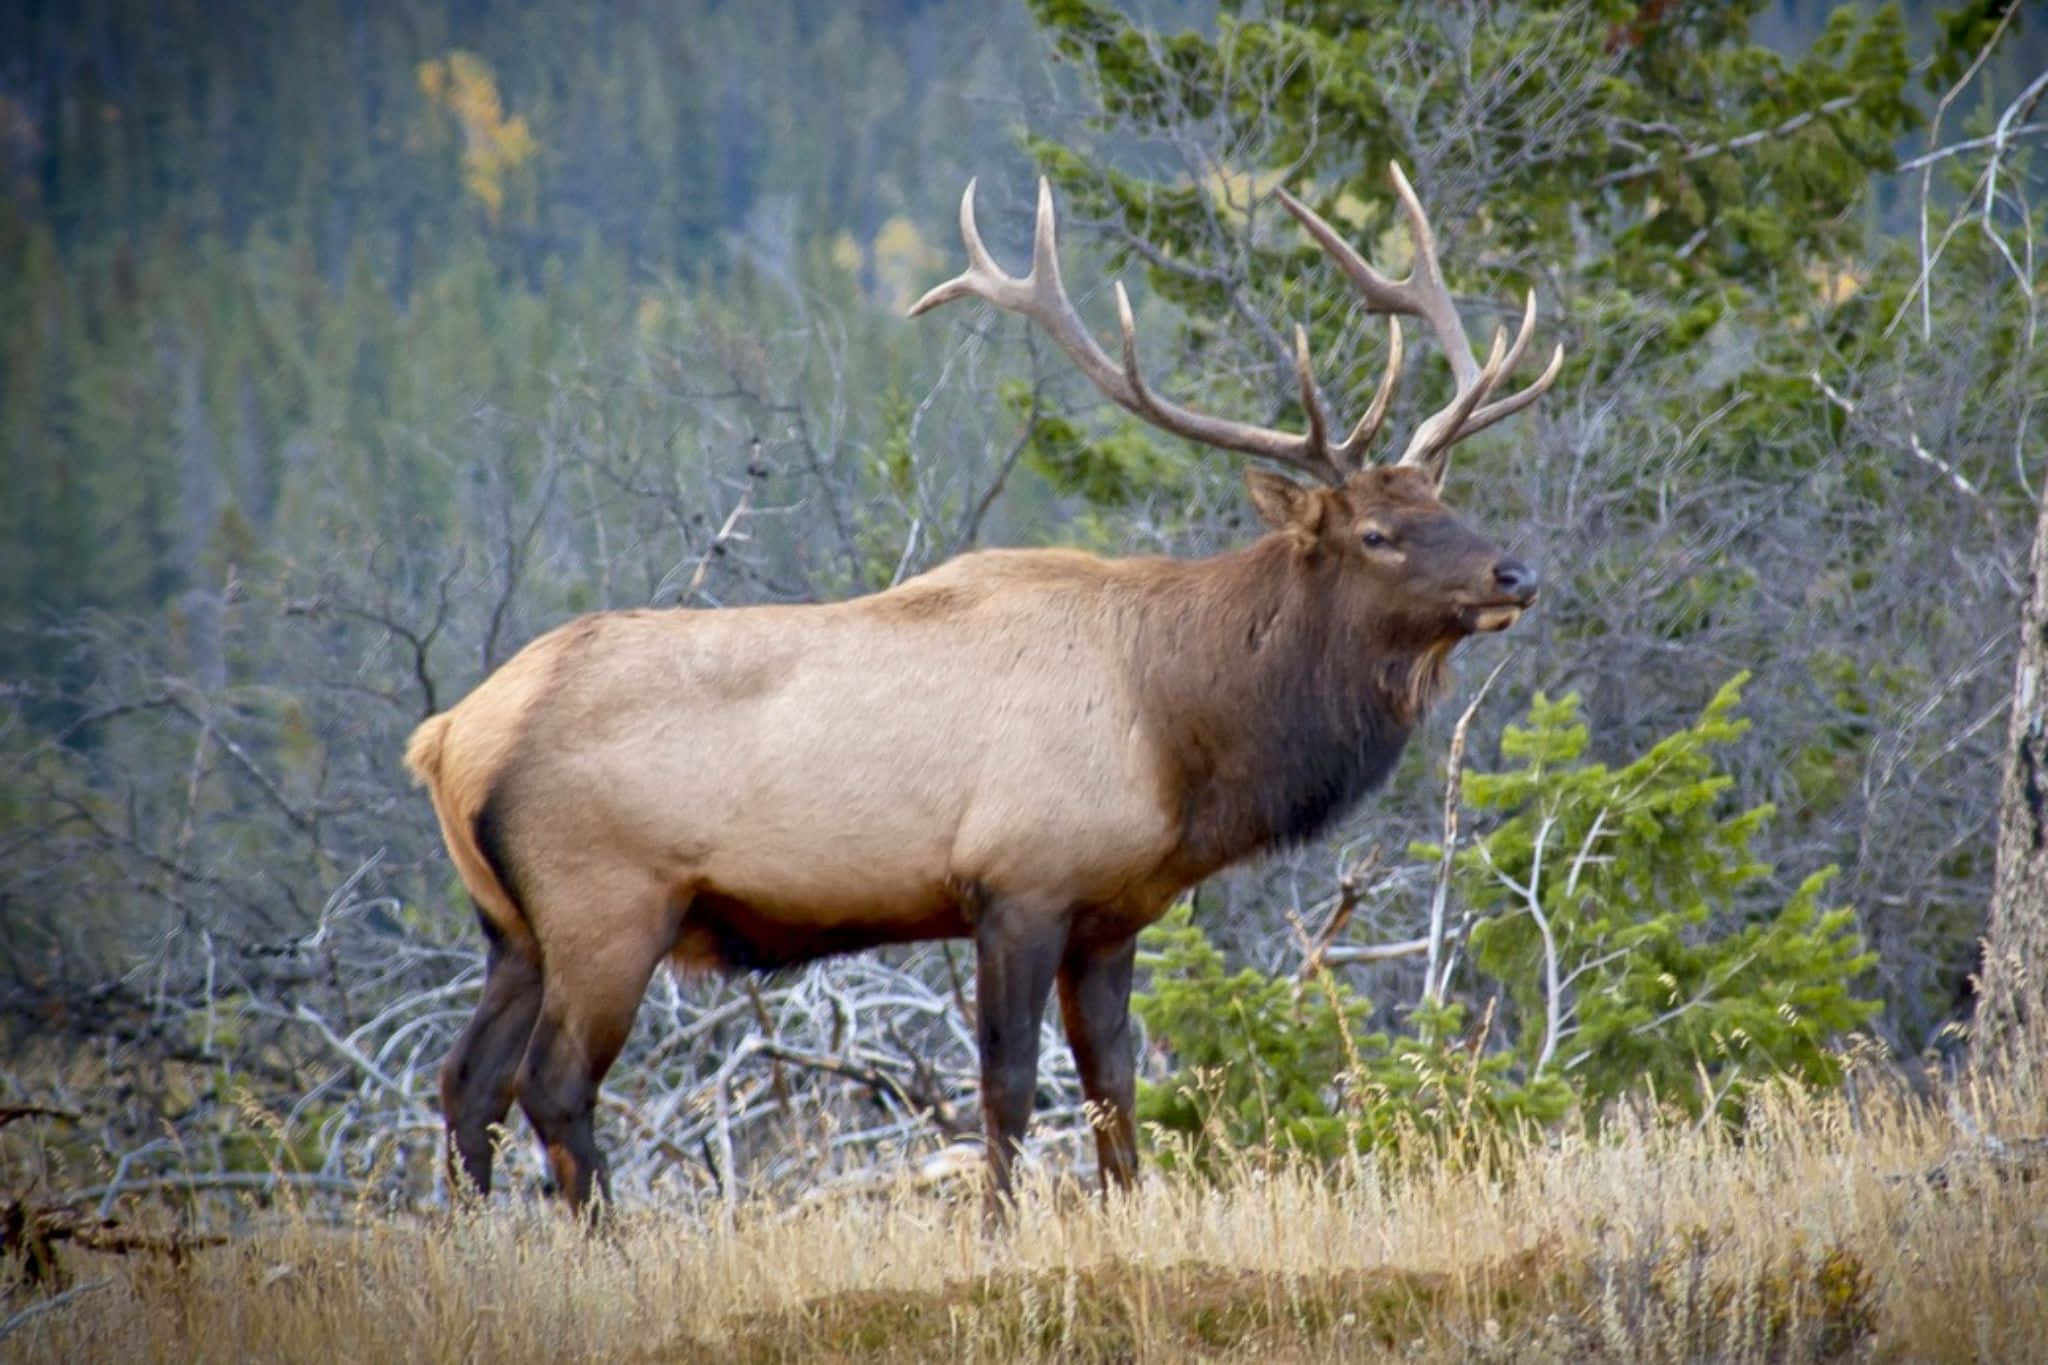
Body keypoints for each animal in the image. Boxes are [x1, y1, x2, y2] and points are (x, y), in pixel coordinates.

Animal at [404, 162, 1562, 1220]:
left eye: (1443, 499)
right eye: (1375, 533)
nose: (1515, 573)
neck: (1178, 732)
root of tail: (448, 736)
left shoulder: (1111, 911)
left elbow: (1112, 1085)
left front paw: (1124, 1213)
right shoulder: (1017, 881)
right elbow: (1006, 1085)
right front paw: (1001, 1226)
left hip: (512, 926)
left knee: (467, 1085)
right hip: (606, 903)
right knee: (552, 1085)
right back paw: (605, 1243)